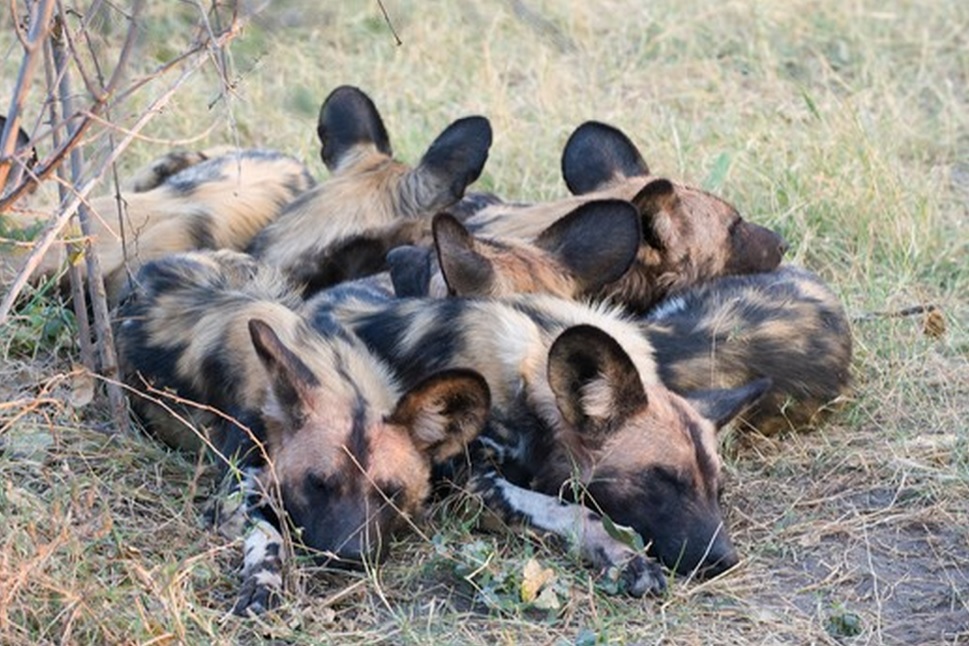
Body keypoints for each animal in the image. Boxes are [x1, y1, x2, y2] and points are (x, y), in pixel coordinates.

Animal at [115, 249, 492, 616]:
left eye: (391, 492)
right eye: (318, 483)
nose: (350, 555)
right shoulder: (234, 499)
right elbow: (270, 534)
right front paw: (262, 582)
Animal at [302, 286, 772, 596]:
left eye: (717, 490)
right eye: (663, 480)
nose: (724, 559)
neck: (526, 385)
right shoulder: (474, 484)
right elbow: (574, 511)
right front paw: (627, 559)